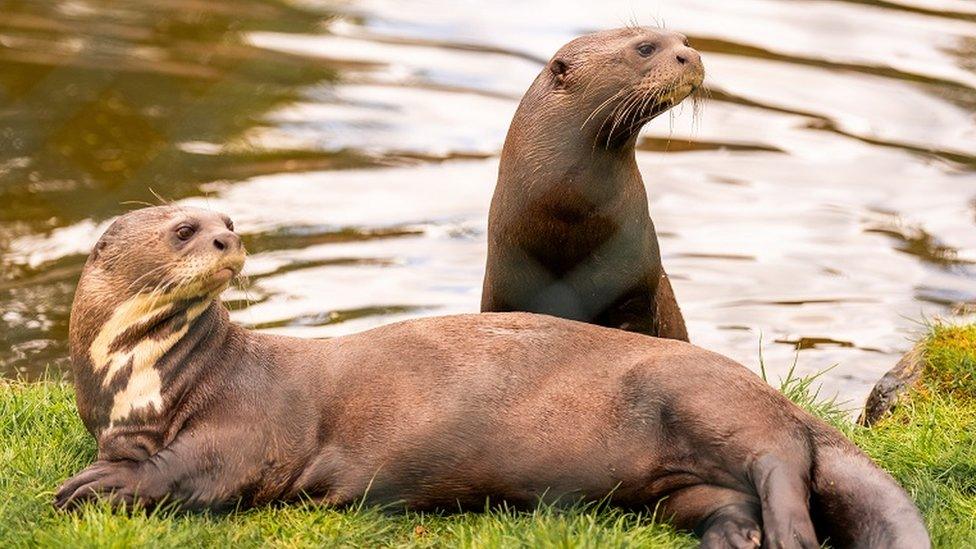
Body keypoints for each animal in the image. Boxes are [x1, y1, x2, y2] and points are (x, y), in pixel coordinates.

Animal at [57, 206, 928, 548]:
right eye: (184, 228)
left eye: (226, 222)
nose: (227, 241)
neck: (141, 382)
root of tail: (770, 391)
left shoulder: (250, 424)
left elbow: (196, 471)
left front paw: (90, 488)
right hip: (669, 484)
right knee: (726, 497)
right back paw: (735, 536)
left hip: (709, 399)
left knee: (783, 462)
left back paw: (787, 533)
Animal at [478, 27, 692, 340]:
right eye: (645, 48)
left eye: (685, 41)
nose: (692, 55)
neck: (569, 214)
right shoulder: (506, 288)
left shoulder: (637, 286)